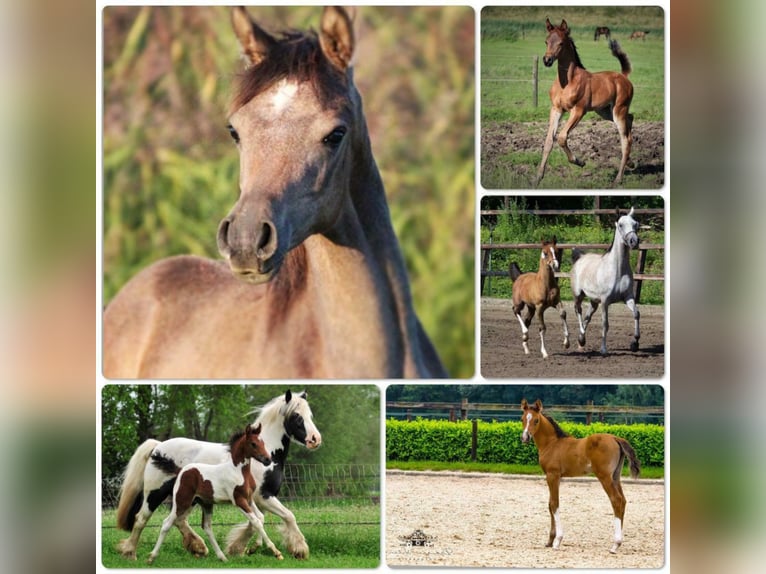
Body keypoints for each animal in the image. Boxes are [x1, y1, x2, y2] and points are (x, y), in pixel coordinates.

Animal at [146, 426, 282, 564]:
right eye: (253, 443)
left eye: (263, 443)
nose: (267, 460)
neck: (238, 471)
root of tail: (181, 470)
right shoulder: (239, 500)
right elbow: (256, 521)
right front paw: (276, 552)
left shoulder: (249, 499)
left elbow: (260, 518)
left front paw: (255, 547)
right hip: (182, 501)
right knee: (166, 523)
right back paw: (151, 557)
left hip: (205, 504)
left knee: (207, 527)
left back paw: (222, 557)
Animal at [520, 398, 640, 556]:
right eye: (522, 419)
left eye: (536, 420)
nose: (525, 437)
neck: (552, 444)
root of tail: (615, 438)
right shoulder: (554, 477)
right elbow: (550, 504)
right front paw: (550, 541)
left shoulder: (552, 475)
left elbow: (554, 504)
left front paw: (557, 541)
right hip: (615, 476)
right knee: (623, 501)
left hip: (604, 477)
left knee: (616, 500)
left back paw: (615, 544)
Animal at [568, 209, 640, 358]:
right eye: (620, 225)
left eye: (636, 224)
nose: (634, 241)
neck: (617, 270)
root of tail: (580, 258)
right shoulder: (605, 301)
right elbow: (605, 324)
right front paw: (603, 350)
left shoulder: (628, 297)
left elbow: (636, 314)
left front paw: (635, 344)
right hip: (578, 295)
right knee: (578, 311)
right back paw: (582, 338)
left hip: (594, 301)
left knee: (588, 316)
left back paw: (581, 339)